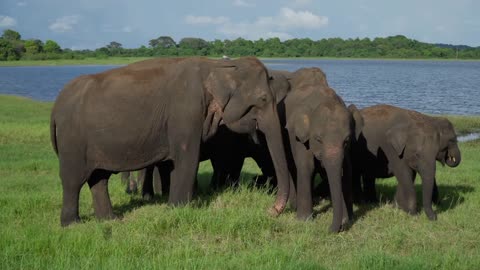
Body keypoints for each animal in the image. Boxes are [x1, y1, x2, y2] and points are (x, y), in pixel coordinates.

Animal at [51, 56, 292, 226]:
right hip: (72, 140)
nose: (270, 211)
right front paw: (179, 210)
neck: (218, 66)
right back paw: (72, 225)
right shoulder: (186, 113)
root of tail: (55, 105)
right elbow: (187, 158)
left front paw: (175, 207)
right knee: (73, 180)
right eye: (263, 99)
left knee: (99, 178)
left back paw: (110, 220)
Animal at [284, 67, 362, 232]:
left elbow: (347, 168)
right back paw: (295, 206)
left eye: (346, 141)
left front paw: (348, 219)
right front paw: (304, 220)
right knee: (291, 165)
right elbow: (306, 166)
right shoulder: (299, 136)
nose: (329, 229)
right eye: (318, 139)